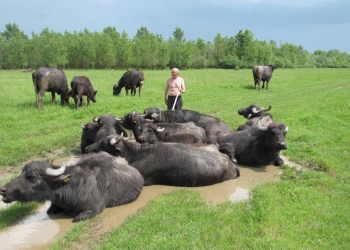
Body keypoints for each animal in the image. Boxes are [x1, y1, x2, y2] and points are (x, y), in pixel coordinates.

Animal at [0, 151, 144, 222]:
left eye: (32, 177)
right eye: (22, 172)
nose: (3, 189)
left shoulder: (94, 209)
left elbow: (78, 218)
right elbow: (49, 211)